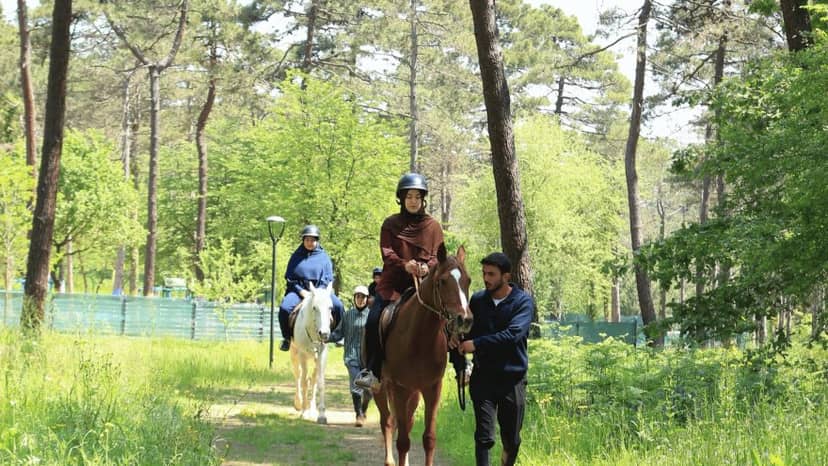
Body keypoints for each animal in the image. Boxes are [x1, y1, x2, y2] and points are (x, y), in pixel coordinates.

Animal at [289, 282, 334, 424]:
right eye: (315, 308)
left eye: (330, 308)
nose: (324, 334)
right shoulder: (302, 355)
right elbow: (303, 382)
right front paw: (303, 411)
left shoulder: (322, 354)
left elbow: (320, 383)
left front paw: (321, 415)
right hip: (294, 354)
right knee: (298, 375)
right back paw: (298, 403)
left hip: (314, 359)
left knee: (313, 380)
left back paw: (312, 409)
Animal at [373, 244, 474, 466]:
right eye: (442, 281)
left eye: (468, 280)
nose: (464, 319)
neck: (419, 338)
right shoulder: (400, 388)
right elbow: (402, 441)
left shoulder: (432, 388)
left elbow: (429, 438)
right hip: (382, 388)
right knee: (388, 421)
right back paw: (389, 460)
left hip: (413, 393)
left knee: (406, 422)